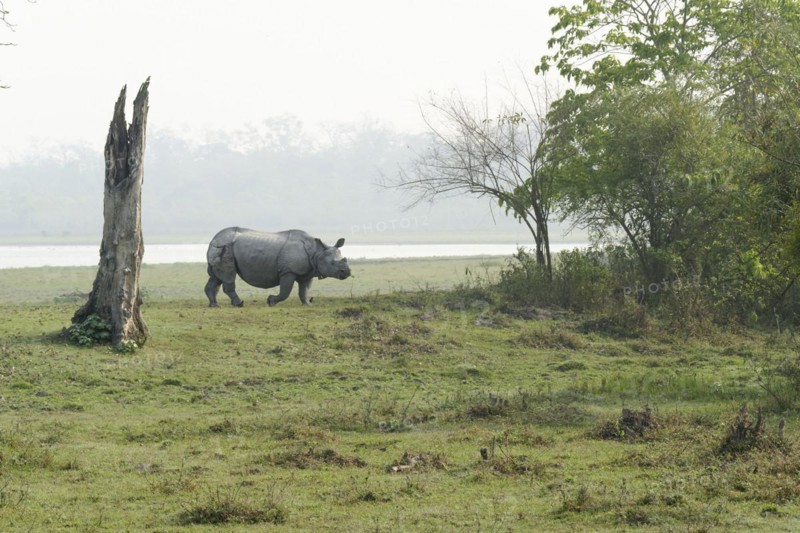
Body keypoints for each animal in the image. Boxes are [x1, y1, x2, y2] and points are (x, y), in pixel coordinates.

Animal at [204, 227, 351, 307]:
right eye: (332, 264)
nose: (347, 272)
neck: (317, 252)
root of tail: (212, 240)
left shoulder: (307, 272)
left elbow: (304, 290)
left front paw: (308, 304)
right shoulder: (288, 271)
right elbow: (285, 291)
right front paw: (271, 301)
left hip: (221, 248)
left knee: (216, 278)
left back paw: (214, 305)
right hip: (225, 247)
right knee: (228, 276)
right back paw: (239, 304)